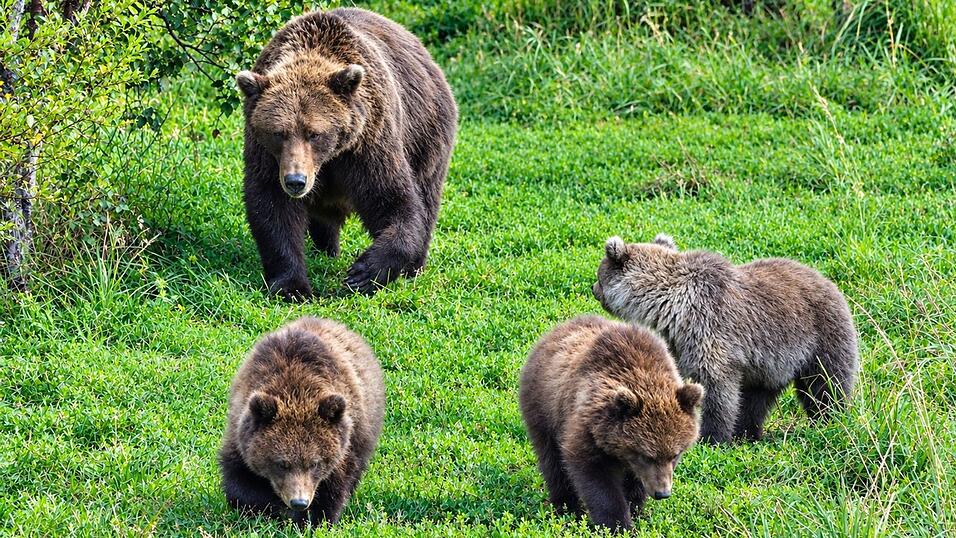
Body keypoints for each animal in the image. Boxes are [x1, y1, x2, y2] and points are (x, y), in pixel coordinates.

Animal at [218, 316, 385, 525]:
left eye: (314, 463)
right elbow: (241, 485)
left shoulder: (344, 446)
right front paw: (265, 508)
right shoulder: (240, 431)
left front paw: (312, 519)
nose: (299, 501)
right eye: (281, 463)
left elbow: (332, 490)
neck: (296, 390)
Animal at [236, 7, 457, 299]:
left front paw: (362, 274)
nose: (296, 181)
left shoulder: (368, 143)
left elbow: (395, 201)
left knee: (427, 196)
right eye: (278, 133)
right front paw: (292, 287)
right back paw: (326, 249)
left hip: (426, 134)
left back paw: (414, 266)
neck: (329, 159)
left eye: (314, 133)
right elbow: (272, 208)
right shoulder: (267, 156)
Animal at [519, 315, 704, 531]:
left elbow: (635, 481)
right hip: (544, 408)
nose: (662, 493)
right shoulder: (588, 427)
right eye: (646, 455)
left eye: (675, 454)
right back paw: (566, 507)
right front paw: (618, 524)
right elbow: (596, 478)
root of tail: (555, 331)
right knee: (552, 461)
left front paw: (635, 510)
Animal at [593, 234, 859, 444]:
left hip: (819, 337)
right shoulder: (680, 342)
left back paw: (830, 420)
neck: (671, 306)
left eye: (599, 274)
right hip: (769, 367)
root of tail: (832, 284)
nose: (593, 289)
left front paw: (710, 437)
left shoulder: (711, 329)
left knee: (826, 384)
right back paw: (747, 433)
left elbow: (717, 389)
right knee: (755, 399)